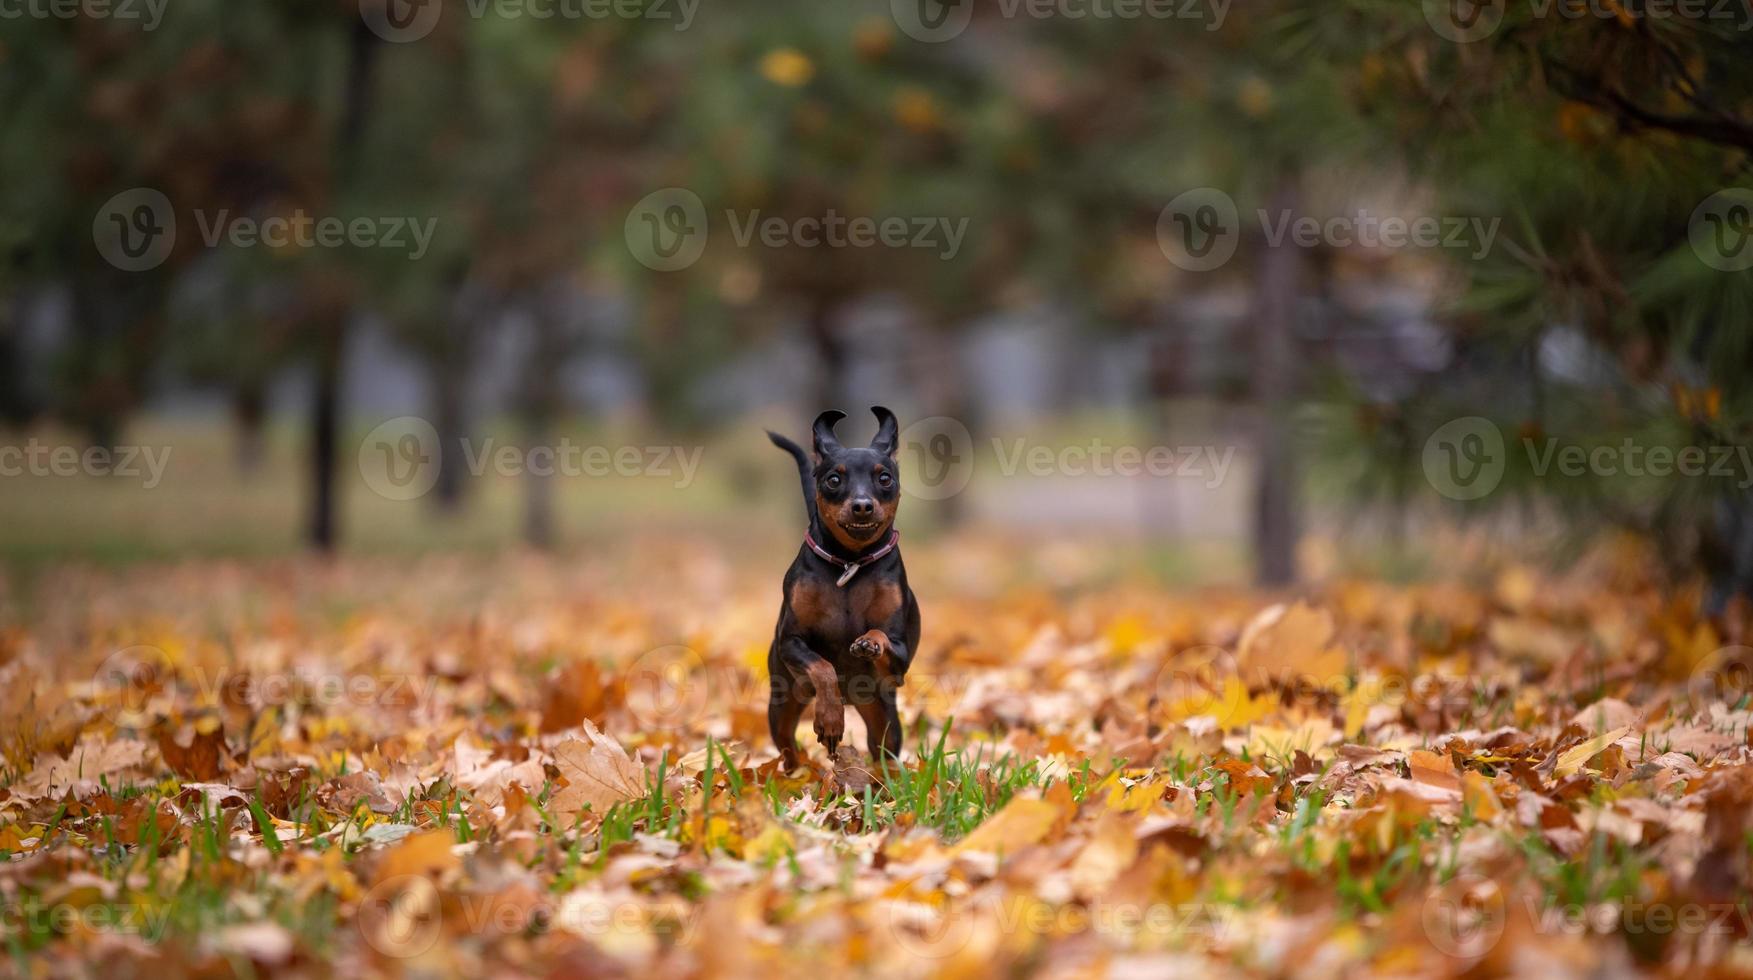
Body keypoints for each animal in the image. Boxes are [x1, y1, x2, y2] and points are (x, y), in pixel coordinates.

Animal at [771, 406, 925, 767]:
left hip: (884, 721)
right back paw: (793, 771)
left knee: (884, 751)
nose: (862, 505)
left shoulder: (900, 658)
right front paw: (829, 720)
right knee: (787, 745)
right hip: (781, 704)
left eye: (885, 478)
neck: (849, 563)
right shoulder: (791, 641)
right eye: (833, 479)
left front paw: (868, 643)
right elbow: (823, 667)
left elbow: (881, 636)